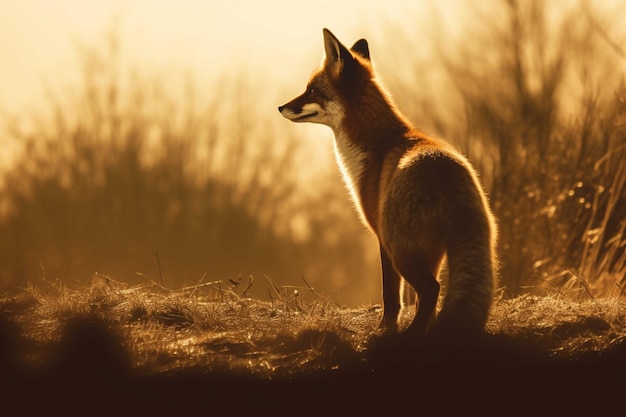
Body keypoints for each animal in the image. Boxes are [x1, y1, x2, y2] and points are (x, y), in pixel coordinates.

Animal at [278, 29, 498, 342]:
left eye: (311, 91)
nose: (280, 107)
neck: (376, 148)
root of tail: (445, 173)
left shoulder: (381, 237)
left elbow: (391, 295)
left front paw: (386, 328)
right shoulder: (431, 252)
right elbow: (412, 300)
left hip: (401, 250)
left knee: (431, 289)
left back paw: (412, 336)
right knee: (432, 293)